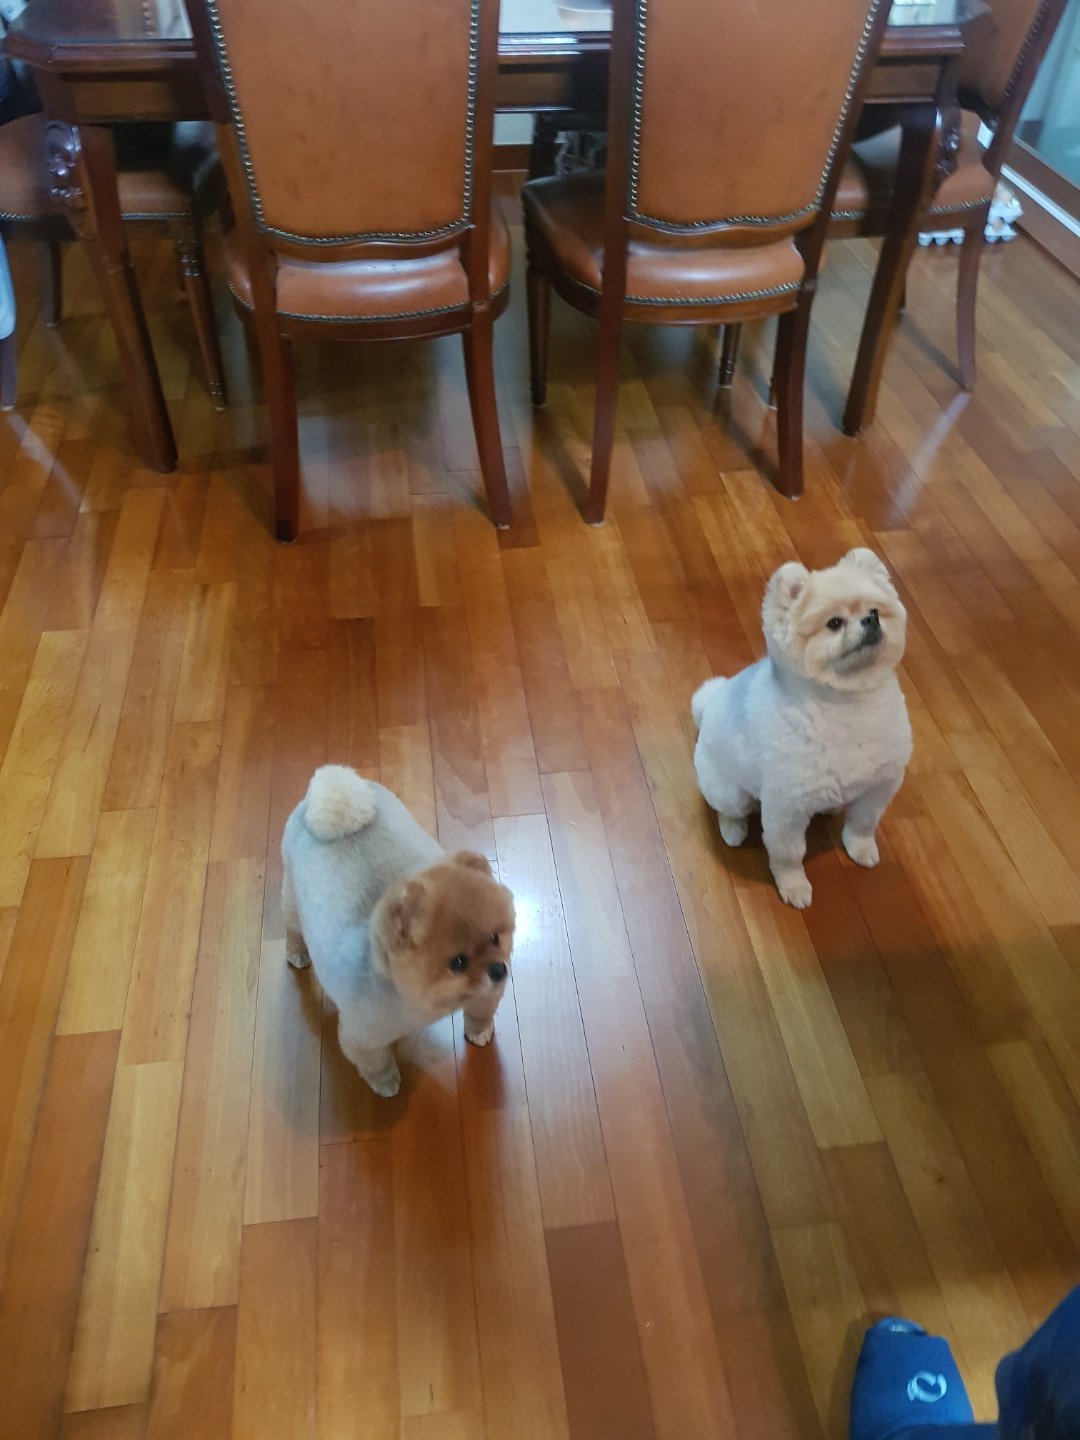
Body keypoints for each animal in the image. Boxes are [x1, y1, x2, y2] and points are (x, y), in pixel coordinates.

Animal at [281, 765, 515, 1096]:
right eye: (458, 963)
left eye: (495, 937)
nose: (498, 969)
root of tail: (333, 784)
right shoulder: (362, 1039)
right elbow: (375, 1062)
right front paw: (386, 1081)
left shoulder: (485, 993)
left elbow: (481, 1011)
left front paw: (479, 1030)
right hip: (291, 895)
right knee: (292, 927)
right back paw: (297, 951)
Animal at [691, 548, 911, 909]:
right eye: (834, 623)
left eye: (875, 611)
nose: (871, 621)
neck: (847, 703)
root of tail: (708, 706)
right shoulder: (787, 809)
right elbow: (788, 854)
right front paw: (793, 885)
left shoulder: (881, 785)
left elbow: (863, 822)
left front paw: (860, 847)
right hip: (728, 790)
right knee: (728, 808)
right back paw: (733, 830)